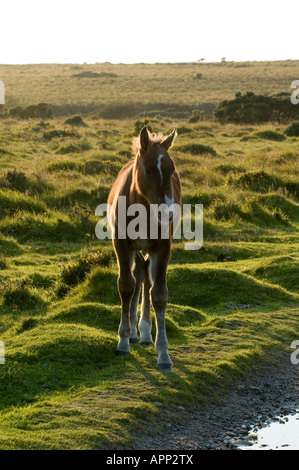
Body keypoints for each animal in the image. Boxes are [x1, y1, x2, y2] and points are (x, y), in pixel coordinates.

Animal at [108, 126, 182, 372]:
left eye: (172, 170)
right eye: (148, 170)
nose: (168, 213)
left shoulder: (162, 248)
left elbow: (158, 295)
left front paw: (164, 355)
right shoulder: (121, 245)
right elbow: (126, 286)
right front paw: (123, 341)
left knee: (146, 279)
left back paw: (146, 334)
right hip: (134, 250)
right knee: (137, 276)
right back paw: (132, 333)